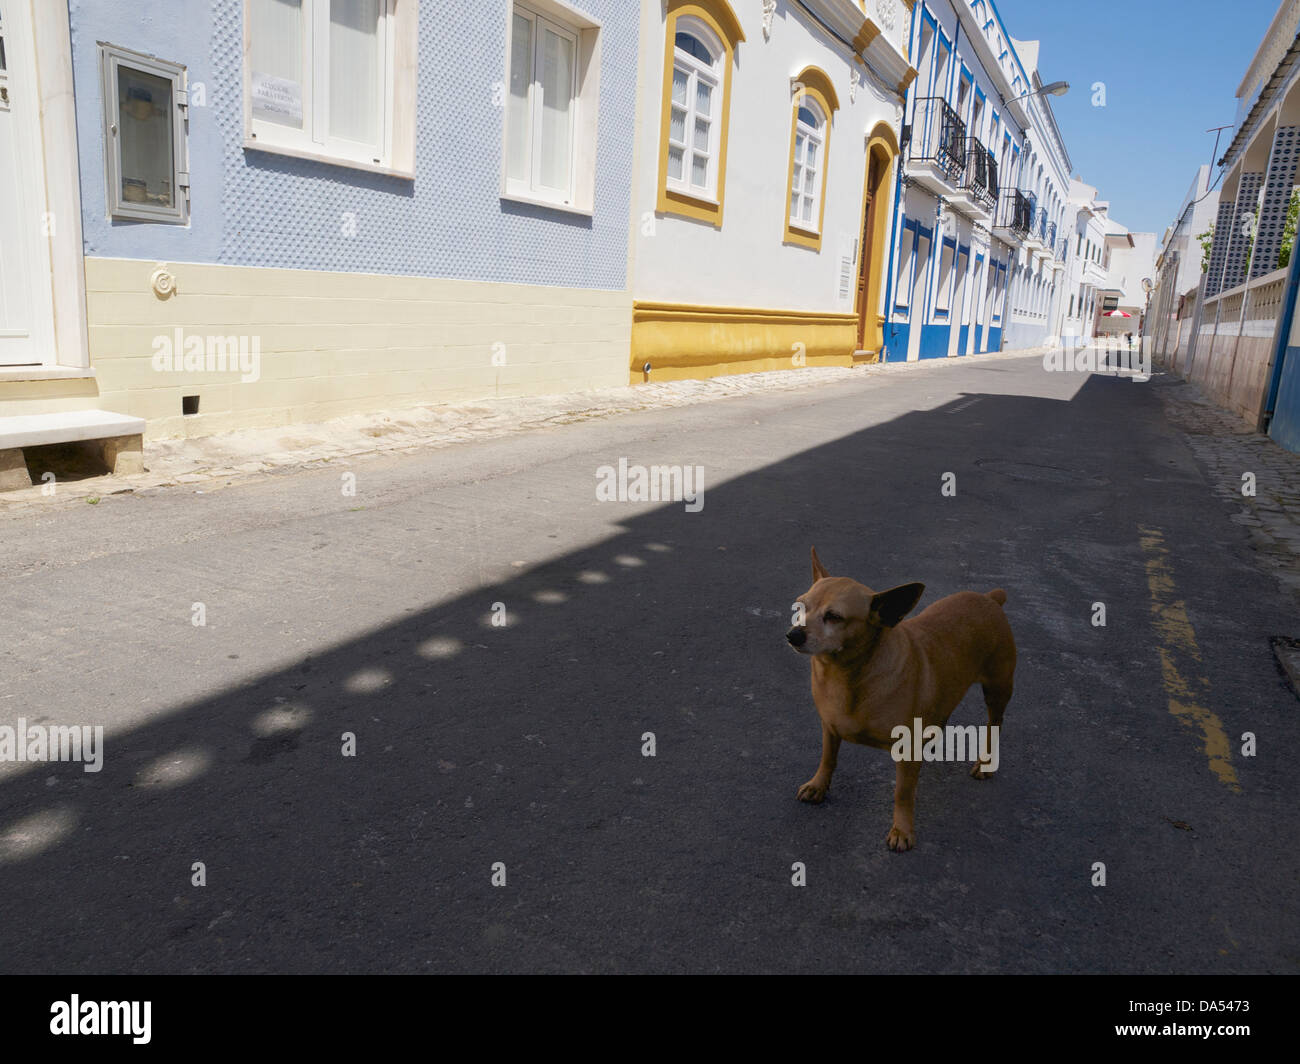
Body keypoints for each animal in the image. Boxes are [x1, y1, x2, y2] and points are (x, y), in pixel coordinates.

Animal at [785, 543, 1019, 848]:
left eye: (834, 617)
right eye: (800, 607)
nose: (793, 635)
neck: (846, 675)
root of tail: (990, 598)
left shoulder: (906, 749)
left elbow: (903, 792)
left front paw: (902, 829)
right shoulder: (829, 728)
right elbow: (828, 758)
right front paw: (818, 785)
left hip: (997, 689)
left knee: (995, 723)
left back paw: (986, 762)